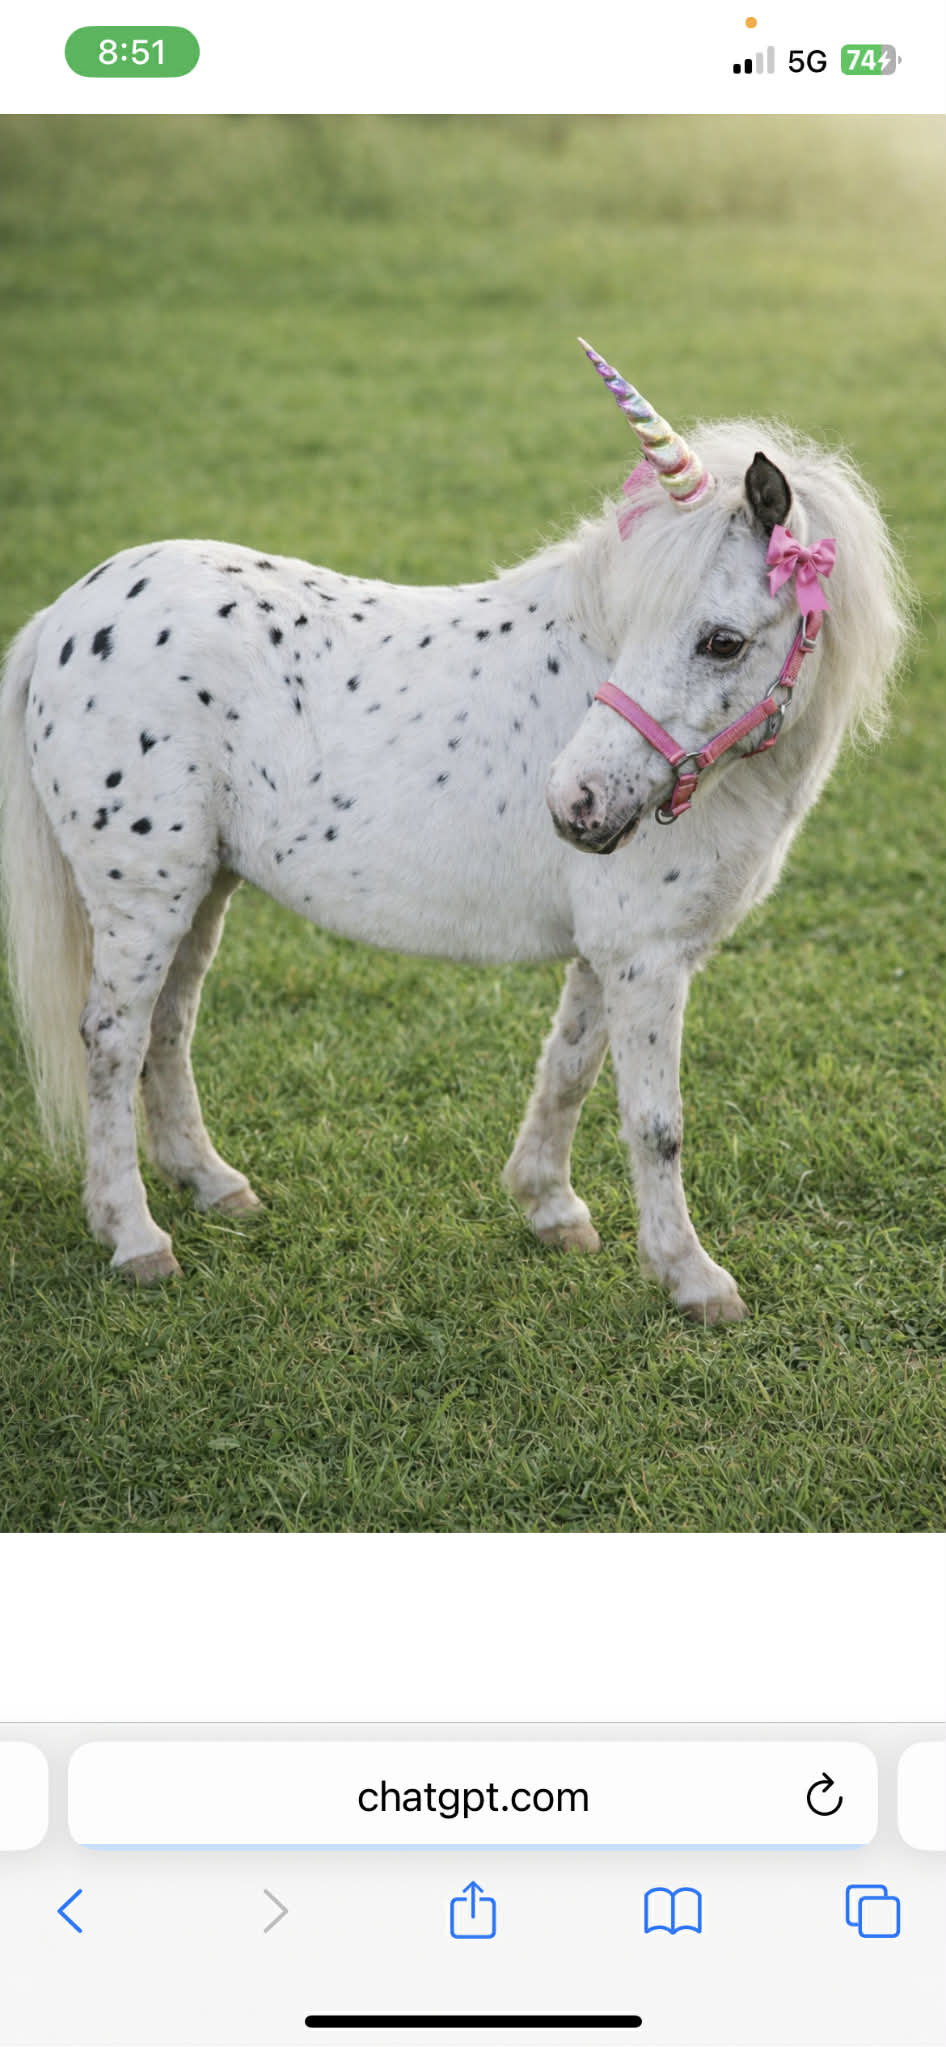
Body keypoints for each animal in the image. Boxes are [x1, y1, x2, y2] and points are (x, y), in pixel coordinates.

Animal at [0, 342, 909, 1320]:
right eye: (644, 625)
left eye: (723, 642)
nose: (577, 801)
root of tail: (63, 617)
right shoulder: (646, 956)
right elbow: (655, 1122)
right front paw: (691, 1276)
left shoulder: (610, 951)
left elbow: (570, 1067)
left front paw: (550, 1207)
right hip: (144, 894)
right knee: (112, 1041)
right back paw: (134, 1237)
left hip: (203, 887)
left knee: (169, 1026)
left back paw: (213, 1185)